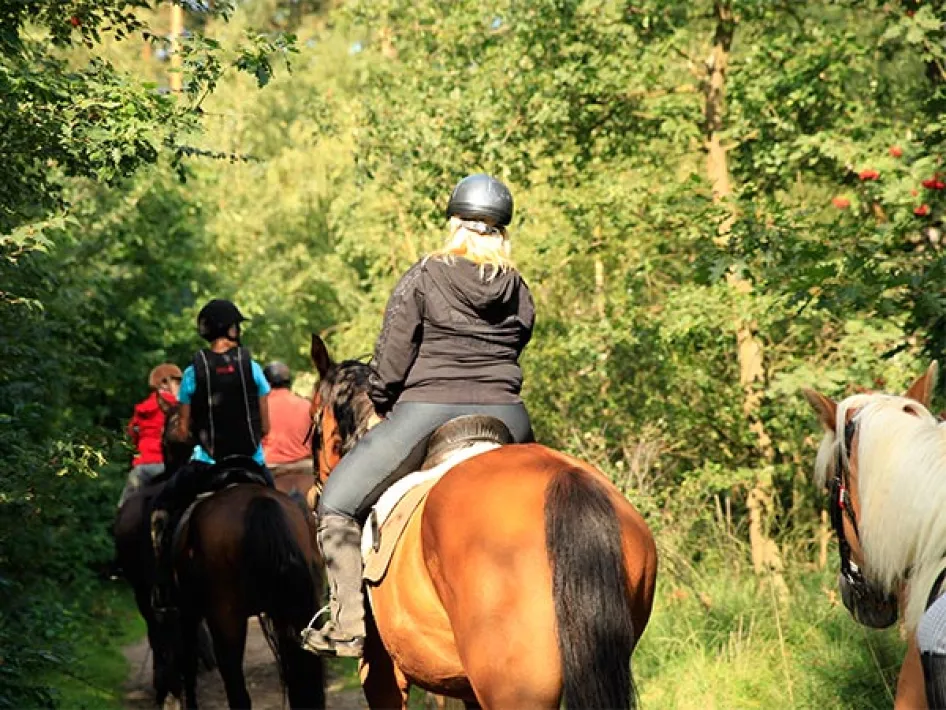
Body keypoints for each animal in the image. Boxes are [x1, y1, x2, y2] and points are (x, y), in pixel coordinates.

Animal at [153, 397, 327, 709]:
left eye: (165, 440)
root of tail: (259, 502)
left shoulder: (188, 612)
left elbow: (187, 665)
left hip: (225, 618)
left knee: (236, 690)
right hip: (298, 606)